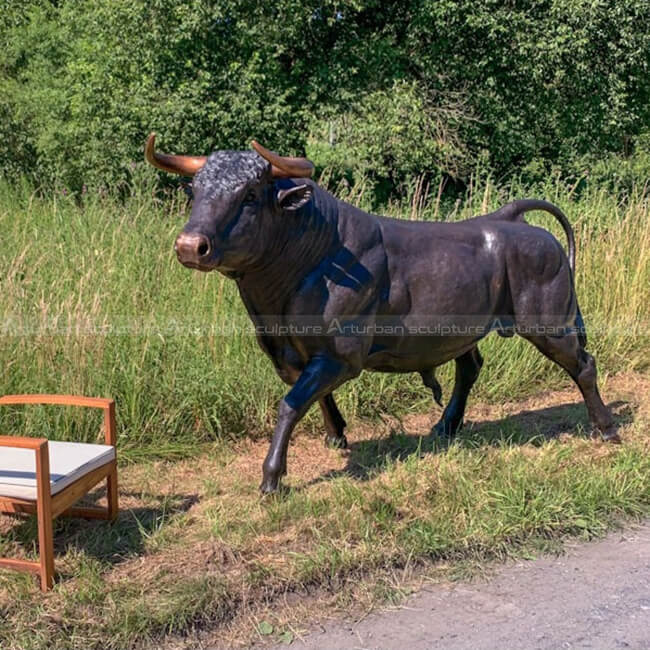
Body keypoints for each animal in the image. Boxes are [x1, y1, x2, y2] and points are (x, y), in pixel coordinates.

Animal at [145, 133, 619, 494]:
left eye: (250, 195)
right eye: (195, 192)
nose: (190, 245)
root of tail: (510, 218)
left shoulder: (342, 354)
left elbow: (290, 404)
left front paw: (272, 478)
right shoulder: (298, 351)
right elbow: (313, 396)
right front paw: (336, 436)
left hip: (550, 322)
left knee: (584, 365)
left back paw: (606, 428)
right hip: (462, 328)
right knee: (469, 367)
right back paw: (446, 426)